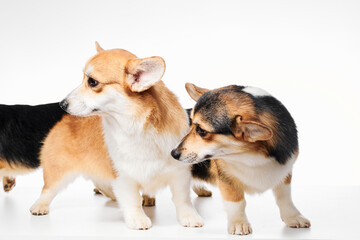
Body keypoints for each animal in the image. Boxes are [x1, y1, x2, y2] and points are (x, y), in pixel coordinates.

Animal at [172, 83, 310, 235]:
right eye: (190, 124)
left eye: (201, 131)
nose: (173, 153)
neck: (250, 155)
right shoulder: (227, 178)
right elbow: (237, 202)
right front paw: (239, 223)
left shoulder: (284, 173)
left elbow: (285, 197)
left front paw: (293, 217)